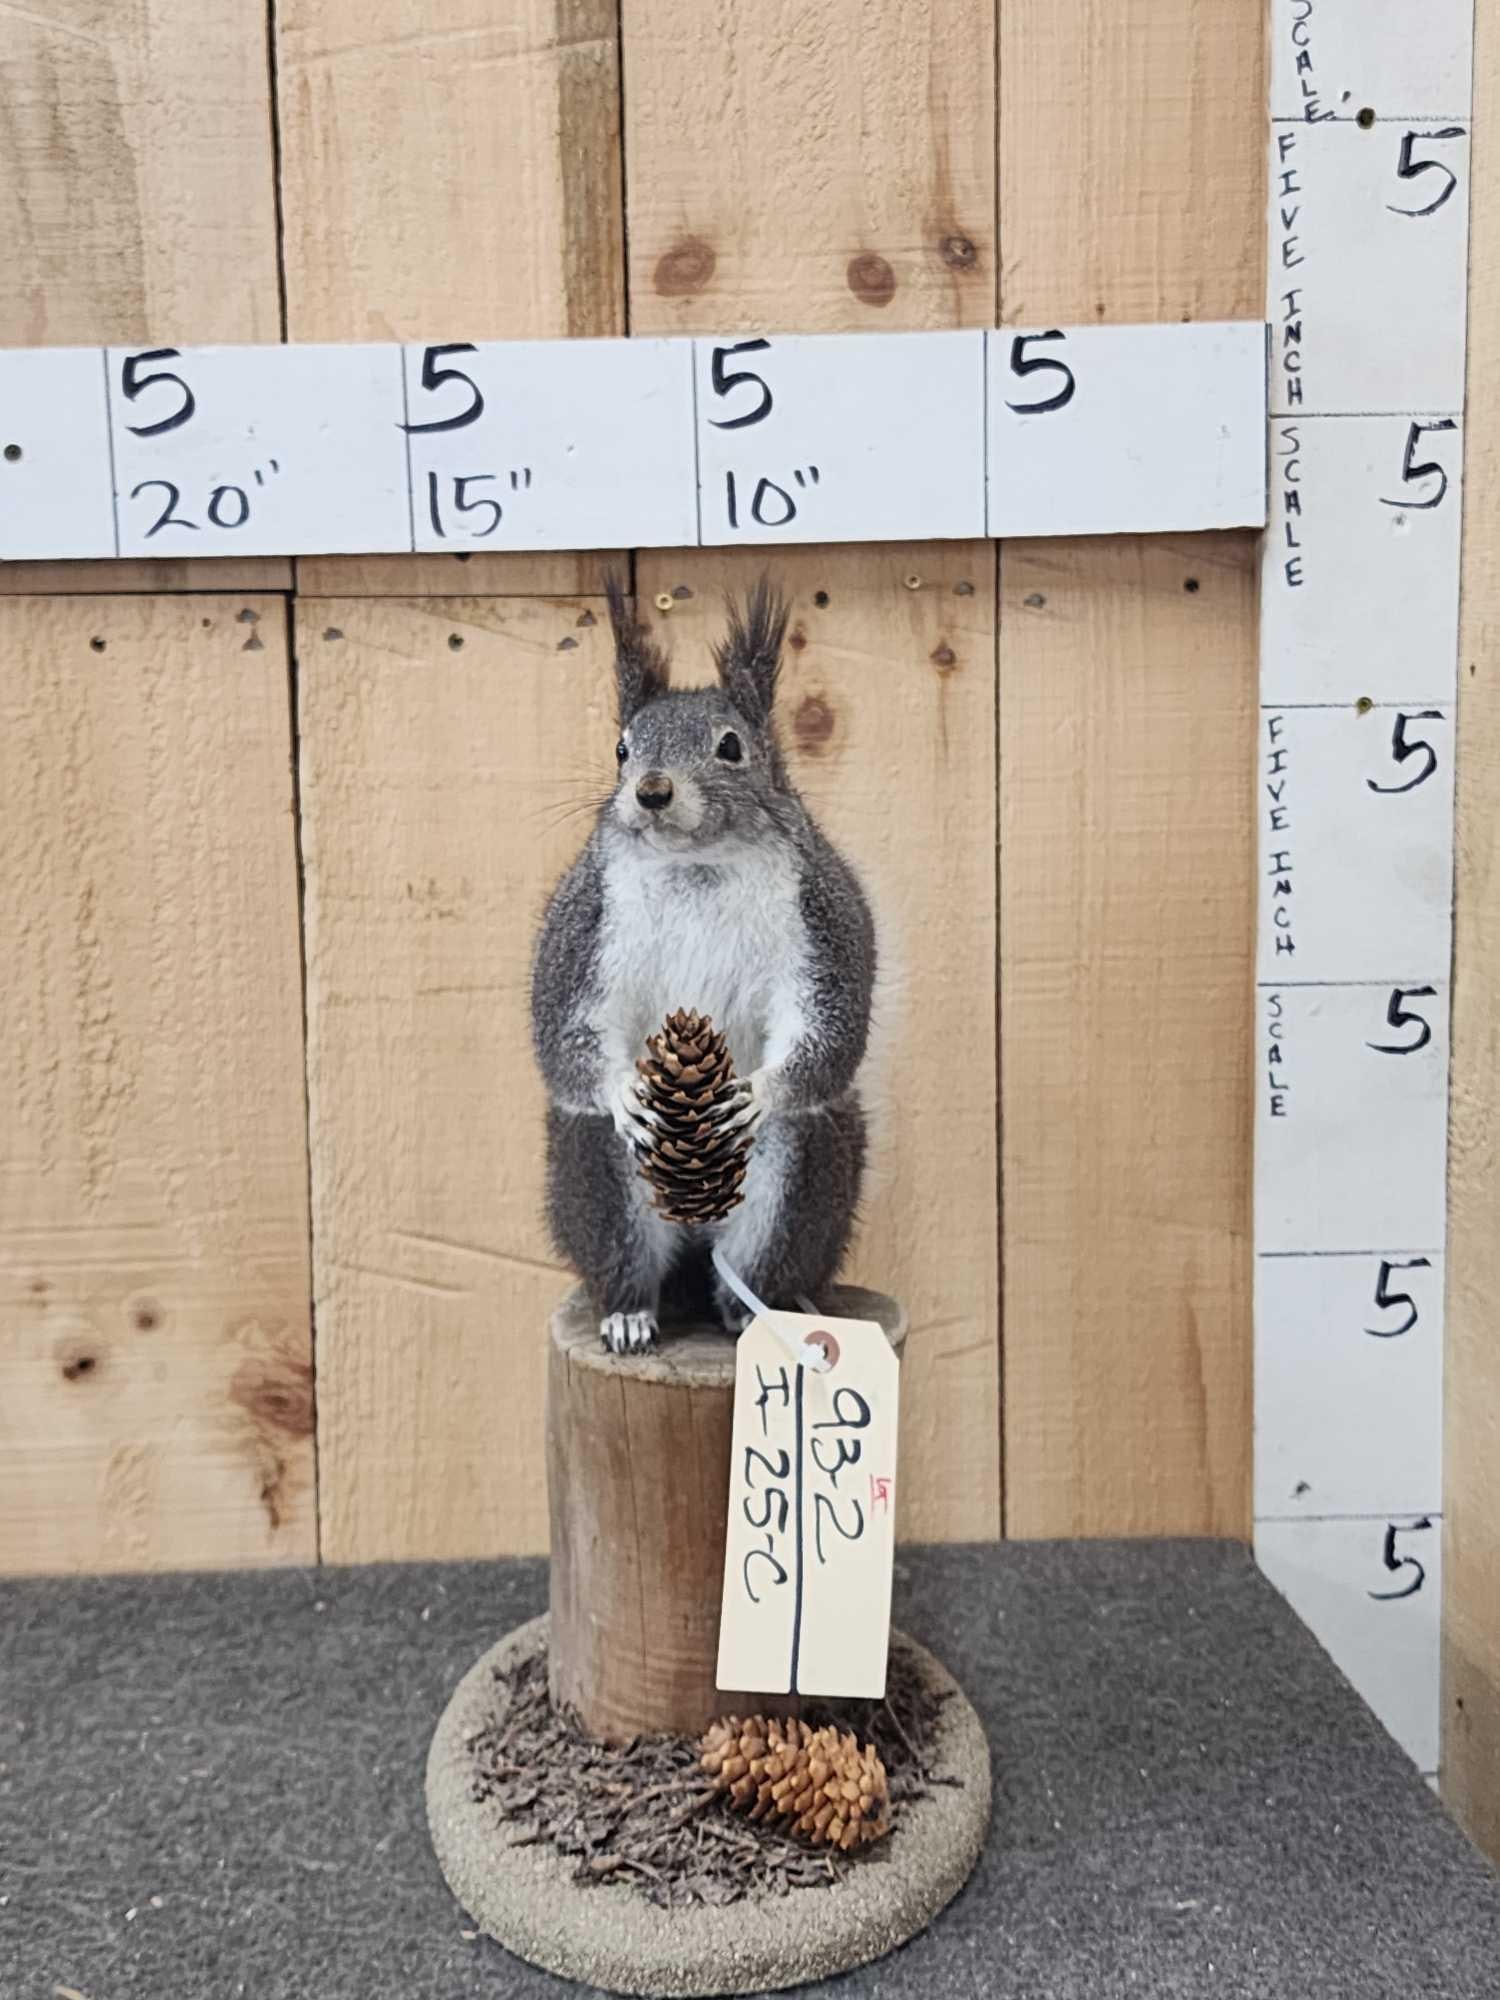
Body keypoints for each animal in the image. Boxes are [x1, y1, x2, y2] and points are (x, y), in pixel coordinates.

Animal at [531, 577, 877, 1355]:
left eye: (730, 746)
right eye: (622, 748)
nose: (652, 790)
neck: (698, 863)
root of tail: (696, 1237)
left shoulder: (822, 920)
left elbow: (828, 1027)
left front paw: (757, 1092)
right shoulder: (582, 925)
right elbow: (565, 1032)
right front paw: (624, 1089)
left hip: (796, 1183)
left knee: (753, 1266)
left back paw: (752, 1314)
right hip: (600, 1176)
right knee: (626, 1261)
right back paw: (629, 1314)